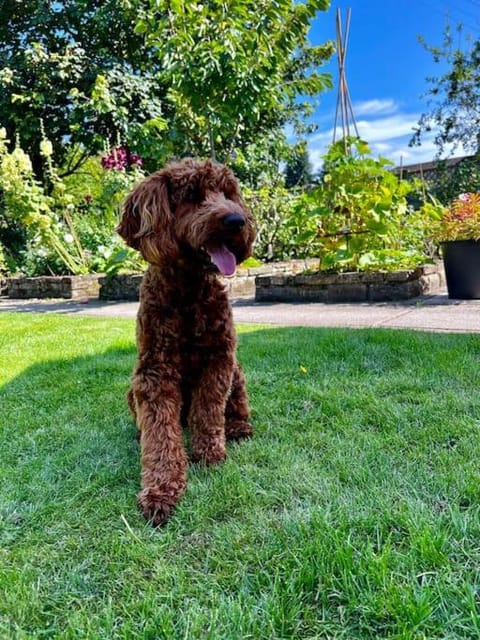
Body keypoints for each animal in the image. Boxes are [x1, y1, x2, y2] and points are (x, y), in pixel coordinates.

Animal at [117, 159, 255, 524]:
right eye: (192, 195)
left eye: (229, 194)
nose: (237, 221)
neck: (190, 289)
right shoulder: (154, 372)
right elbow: (161, 434)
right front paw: (161, 490)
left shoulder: (219, 359)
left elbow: (208, 411)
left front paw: (209, 453)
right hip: (132, 389)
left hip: (237, 371)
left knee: (236, 404)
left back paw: (238, 427)